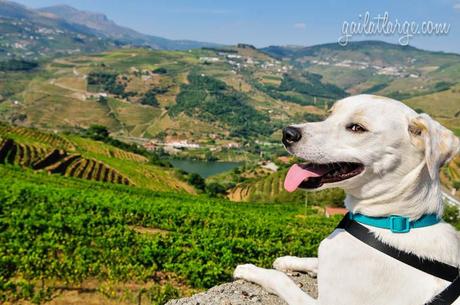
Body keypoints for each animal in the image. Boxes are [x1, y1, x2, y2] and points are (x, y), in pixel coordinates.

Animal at [235, 95, 458, 304]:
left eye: (357, 128)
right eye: (330, 114)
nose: (287, 133)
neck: (393, 221)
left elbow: (282, 280)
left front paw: (251, 270)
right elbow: (314, 259)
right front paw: (286, 260)